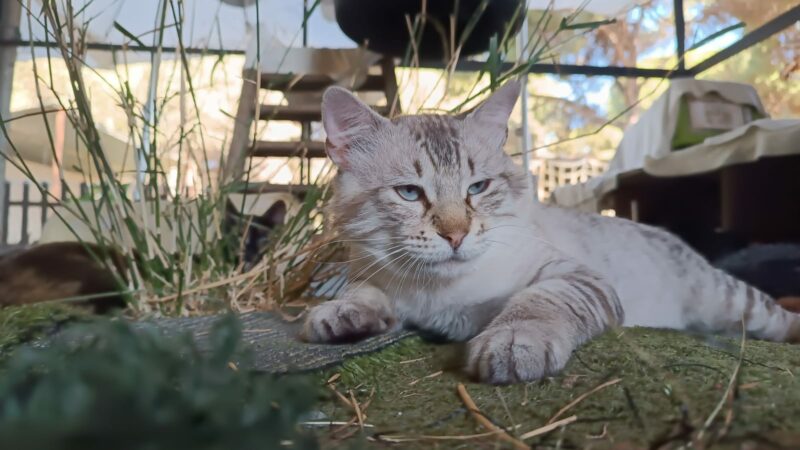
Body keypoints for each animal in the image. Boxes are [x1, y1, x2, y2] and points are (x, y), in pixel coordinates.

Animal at [300, 81, 800, 384]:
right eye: (409, 193)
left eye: (478, 188)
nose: (456, 235)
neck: (440, 297)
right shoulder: (375, 273)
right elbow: (363, 292)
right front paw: (342, 314)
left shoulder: (575, 277)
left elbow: (538, 301)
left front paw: (513, 341)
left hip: (732, 301)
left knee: (774, 313)